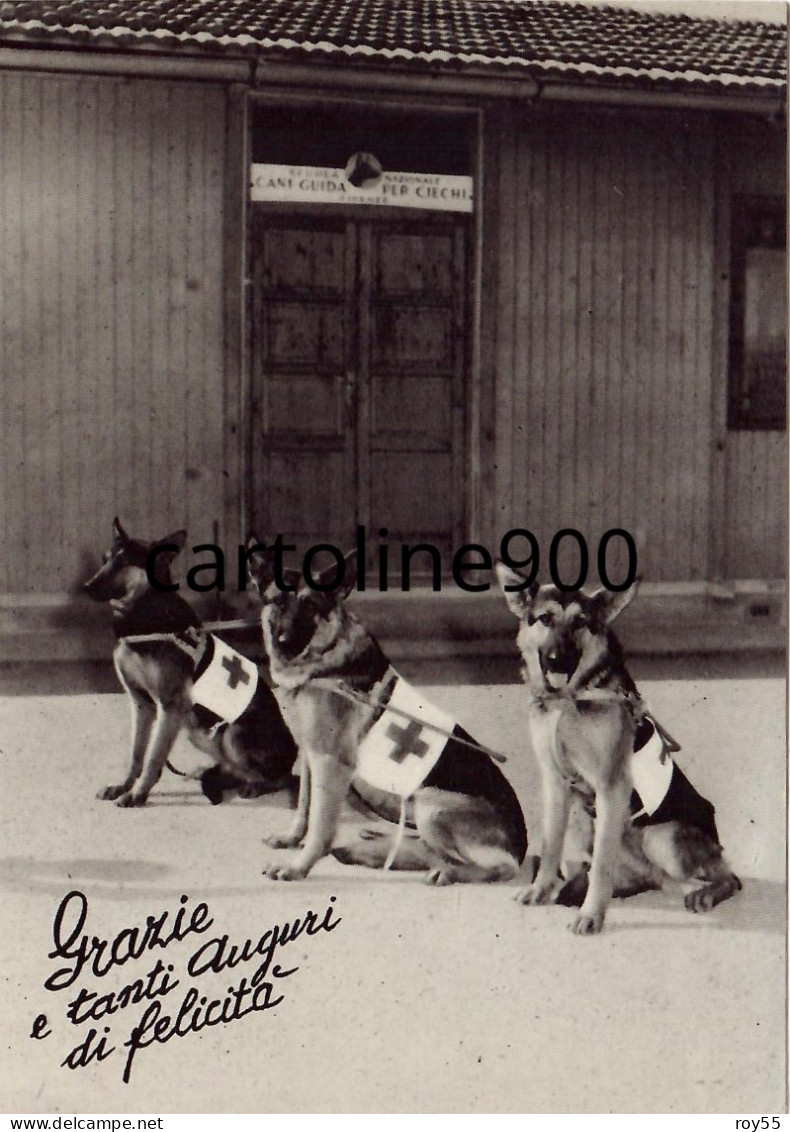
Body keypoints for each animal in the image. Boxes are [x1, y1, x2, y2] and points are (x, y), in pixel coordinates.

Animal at [84, 518, 296, 805]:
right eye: (105, 559)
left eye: (124, 562)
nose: (86, 587)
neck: (144, 616)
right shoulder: (141, 705)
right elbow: (136, 754)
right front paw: (124, 785)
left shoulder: (169, 707)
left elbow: (153, 757)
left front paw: (138, 794)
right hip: (199, 732)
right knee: (235, 769)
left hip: (231, 734)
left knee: (284, 778)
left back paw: (256, 785)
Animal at [244, 541, 529, 882]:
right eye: (276, 602)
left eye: (310, 605)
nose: (284, 642)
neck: (324, 661)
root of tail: (522, 848)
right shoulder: (311, 756)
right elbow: (304, 806)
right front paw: (291, 838)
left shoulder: (331, 763)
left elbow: (320, 825)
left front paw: (299, 866)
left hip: (431, 805)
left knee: (499, 867)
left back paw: (446, 872)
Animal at [495, 561, 742, 932]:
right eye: (545, 619)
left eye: (580, 622)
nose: (556, 660)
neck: (568, 700)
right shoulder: (555, 784)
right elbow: (551, 844)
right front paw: (541, 889)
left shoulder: (611, 787)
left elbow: (600, 866)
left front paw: (591, 915)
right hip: (586, 825)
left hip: (661, 838)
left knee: (729, 877)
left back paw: (705, 894)